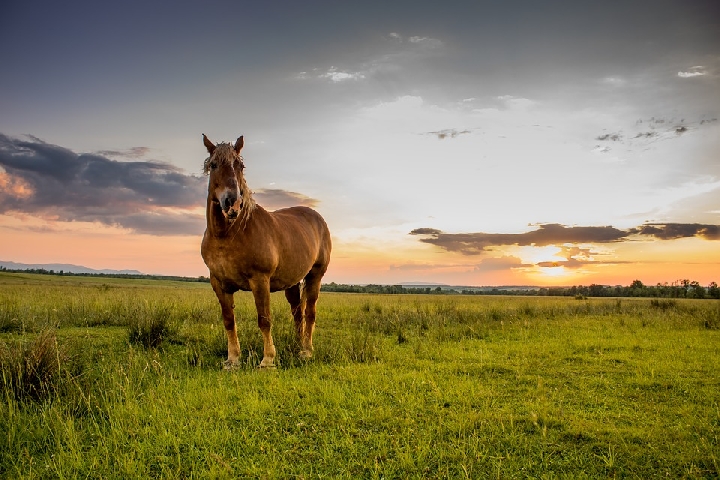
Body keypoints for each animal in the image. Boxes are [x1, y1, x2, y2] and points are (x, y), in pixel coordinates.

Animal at [201, 133, 334, 370]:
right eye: (214, 165)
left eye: (240, 165)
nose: (232, 203)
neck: (229, 234)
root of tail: (316, 216)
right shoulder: (218, 283)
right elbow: (228, 320)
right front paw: (232, 360)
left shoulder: (260, 280)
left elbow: (264, 319)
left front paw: (268, 360)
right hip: (292, 282)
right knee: (297, 313)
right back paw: (297, 345)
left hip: (315, 276)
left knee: (309, 312)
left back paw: (306, 351)